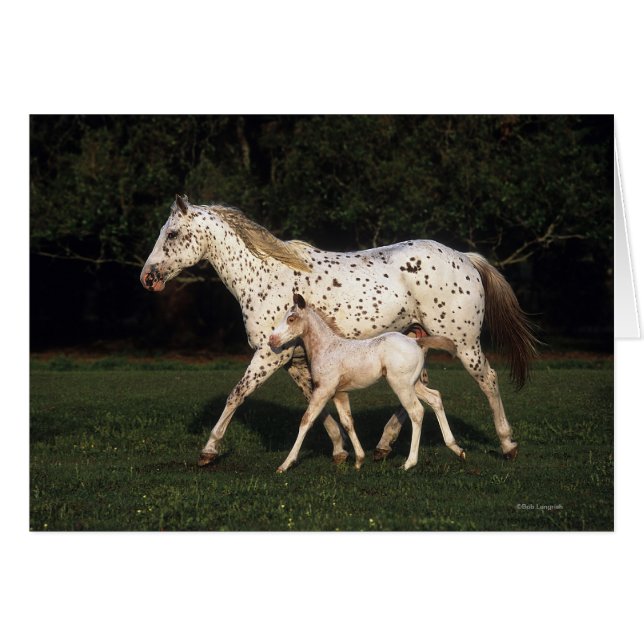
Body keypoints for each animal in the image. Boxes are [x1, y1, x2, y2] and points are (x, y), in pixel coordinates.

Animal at [268, 293, 462, 472]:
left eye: (291, 318)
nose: (272, 340)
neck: (327, 348)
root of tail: (416, 341)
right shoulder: (340, 393)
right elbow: (347, 422)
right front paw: (359, 460)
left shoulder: (323, 390)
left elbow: (306, 421)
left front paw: (285, 464)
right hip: (413, 384)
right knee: (435, 397)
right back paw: (456, 448)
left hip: (401, 385)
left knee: (416, 411)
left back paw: (409, 463)